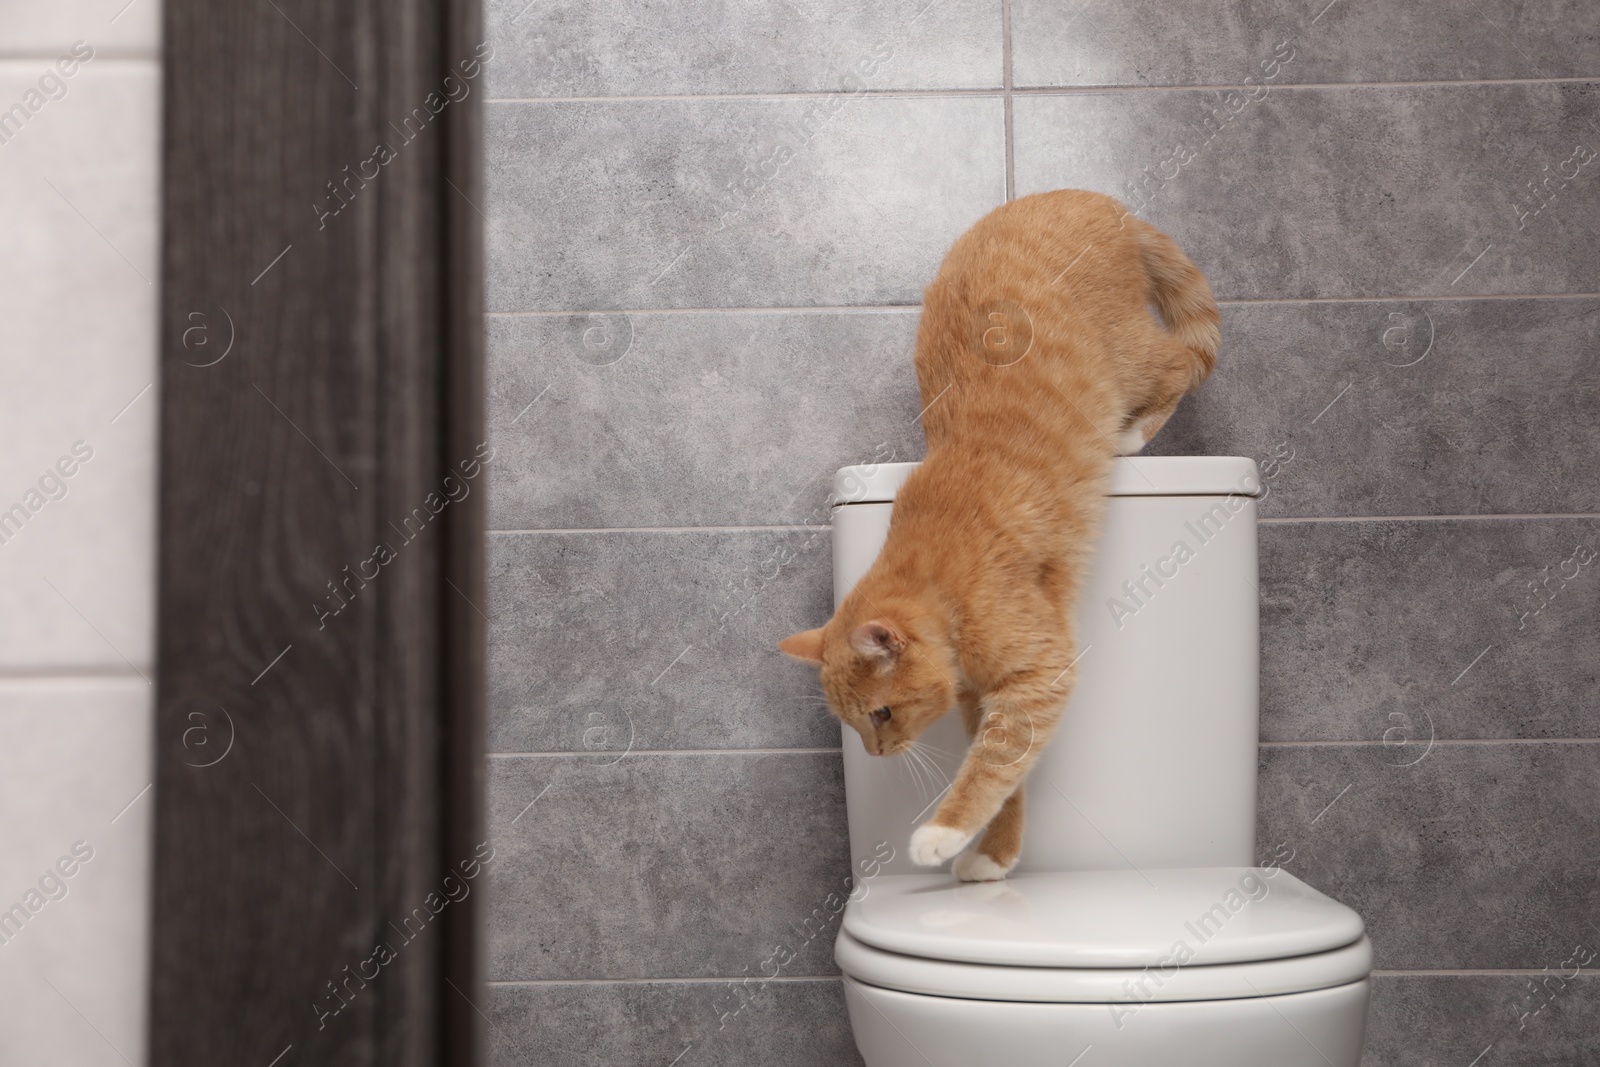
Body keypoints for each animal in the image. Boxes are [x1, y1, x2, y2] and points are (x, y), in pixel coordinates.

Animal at [780, 189, 1216, 883]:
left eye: (880, 713)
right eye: (855, 722)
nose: (875, 754)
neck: (941, 577)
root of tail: (1090, 198)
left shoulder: (1041, 672)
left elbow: (989, 766)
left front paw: (943, 833)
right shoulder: (986, 697)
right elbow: (1009, 772)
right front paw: (995, 854)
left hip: (1130, 354)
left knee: (1184, 361)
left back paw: (1132, 435)